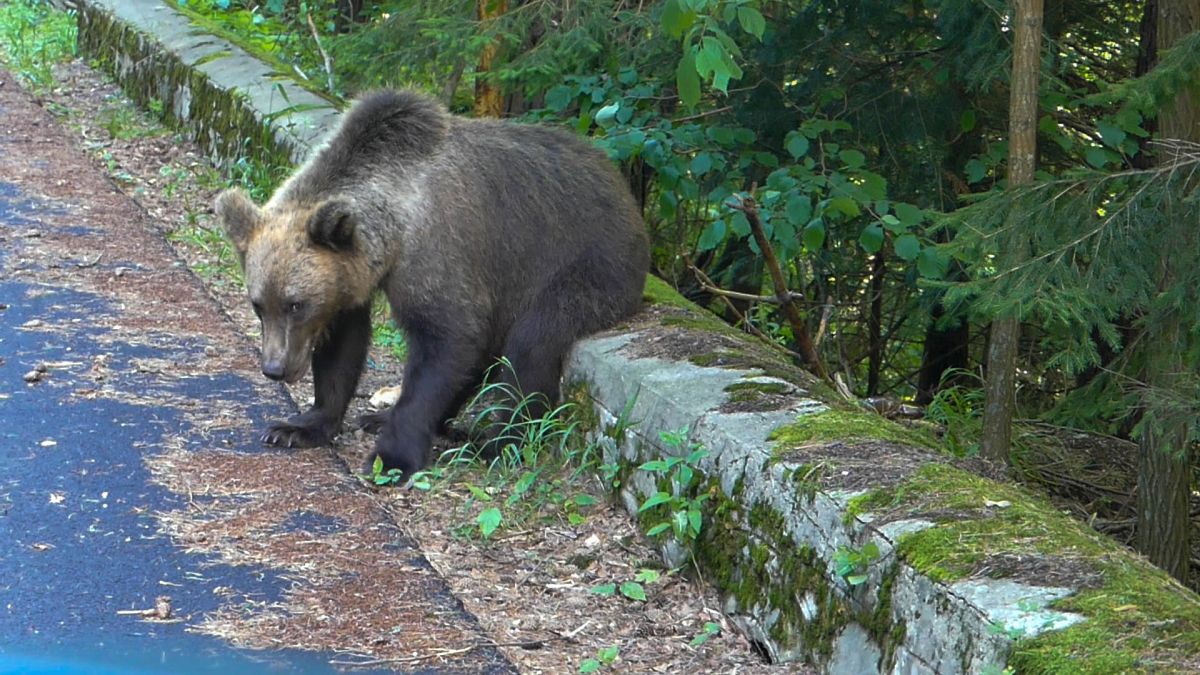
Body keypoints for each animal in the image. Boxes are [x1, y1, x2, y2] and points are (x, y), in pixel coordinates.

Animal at [216, 90, 648, 473]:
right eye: (259, 305)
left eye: (296, 304)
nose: (274, 368)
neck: (393, 230)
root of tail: (621, 188)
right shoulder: (351, 280)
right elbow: (343, 346)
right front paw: (299, 426)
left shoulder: (437, 255)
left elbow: (446, 342)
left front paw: (391, 457)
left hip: (585, 266)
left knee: (532, 344)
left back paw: (495, 443)